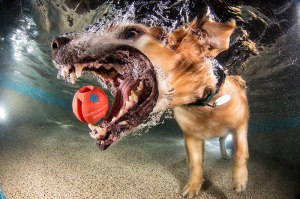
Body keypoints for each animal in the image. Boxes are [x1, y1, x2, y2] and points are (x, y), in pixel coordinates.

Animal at [51, 15, 248, 197]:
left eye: (131, 32)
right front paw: (193, 186)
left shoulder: (241, 126)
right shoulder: (191, 137)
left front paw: (239, 181)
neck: (202, 106)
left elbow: (240, 153)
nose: (55, 43)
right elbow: (196, 164)